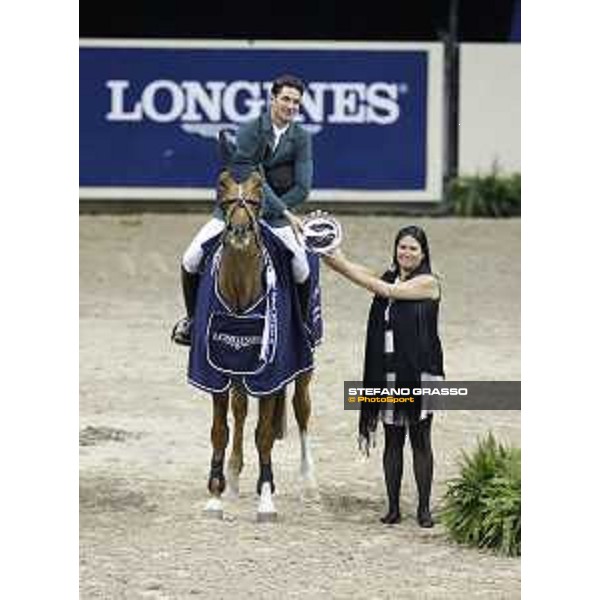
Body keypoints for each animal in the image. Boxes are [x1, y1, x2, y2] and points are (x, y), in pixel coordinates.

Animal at [204, 169, 316, 520]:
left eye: (255, 201)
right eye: (226, 199)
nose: (239, 232)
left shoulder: (271, 375)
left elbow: (264, 436)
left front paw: (266, 499)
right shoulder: (216, 372)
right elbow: (220, 431)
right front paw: (216, 495)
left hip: (304, 368)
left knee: (301, 409)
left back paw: (308, 482)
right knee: (240, 412)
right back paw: (235, 475)